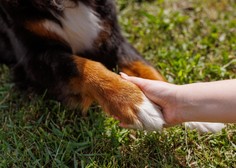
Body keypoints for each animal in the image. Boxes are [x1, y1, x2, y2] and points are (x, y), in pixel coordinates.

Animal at [0, 0, 225, 132]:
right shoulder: (33, 59)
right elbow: (84, 66)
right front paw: (135, 103)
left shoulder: (112, 37)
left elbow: (146, 68)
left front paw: (193, 109)